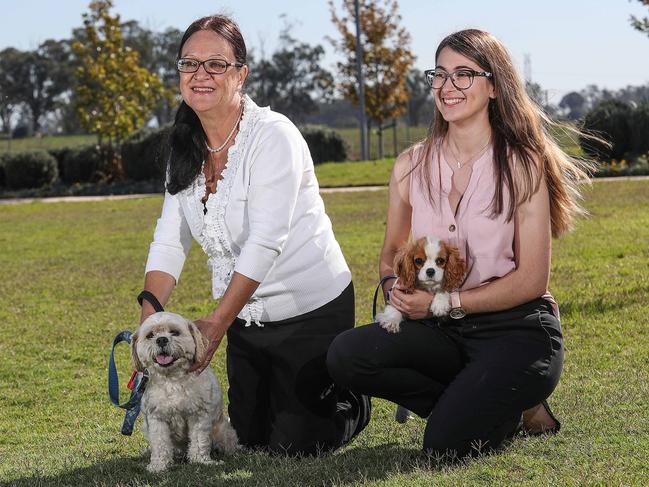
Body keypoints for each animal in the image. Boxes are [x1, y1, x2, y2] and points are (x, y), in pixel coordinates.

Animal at [130, 312, 237, 472]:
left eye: (175, 332)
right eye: (150, 335)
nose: (161, 339)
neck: (173, 380)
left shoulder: (198, 415)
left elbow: (199, 441)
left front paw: (201, 461)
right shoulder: (157, 418)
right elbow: (160, 444)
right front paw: (158, 466)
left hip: (223, 432)